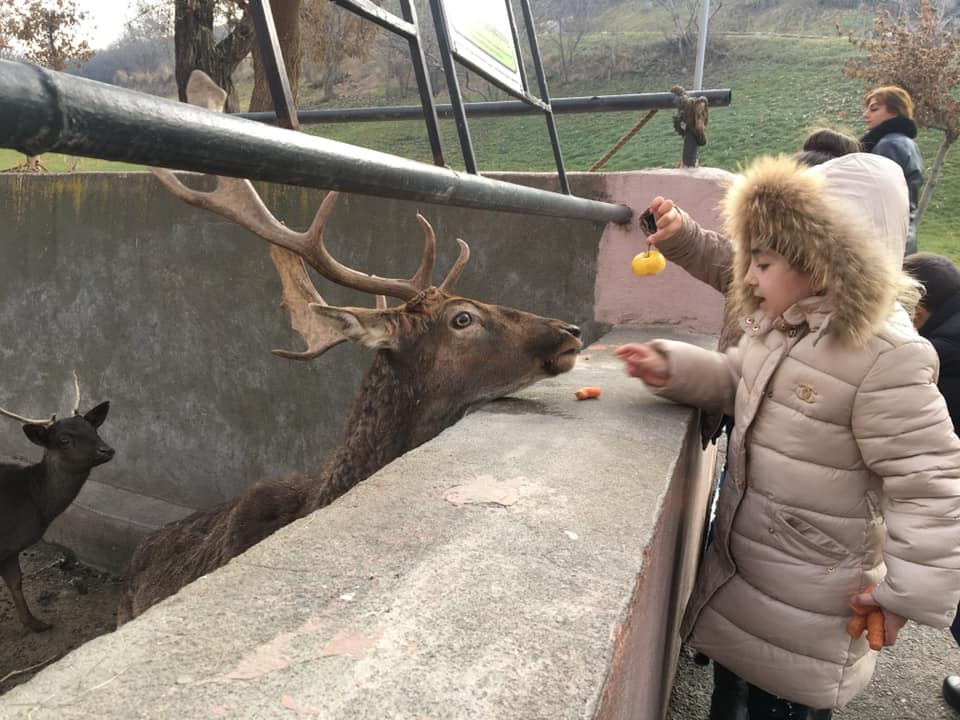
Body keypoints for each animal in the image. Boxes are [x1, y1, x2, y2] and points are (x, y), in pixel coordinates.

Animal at [0, 372, 113, 632]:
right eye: (64, 439)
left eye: (94, 429)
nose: (107, 450)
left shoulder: (10, 549)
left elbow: (16, 582)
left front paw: (36, 623)